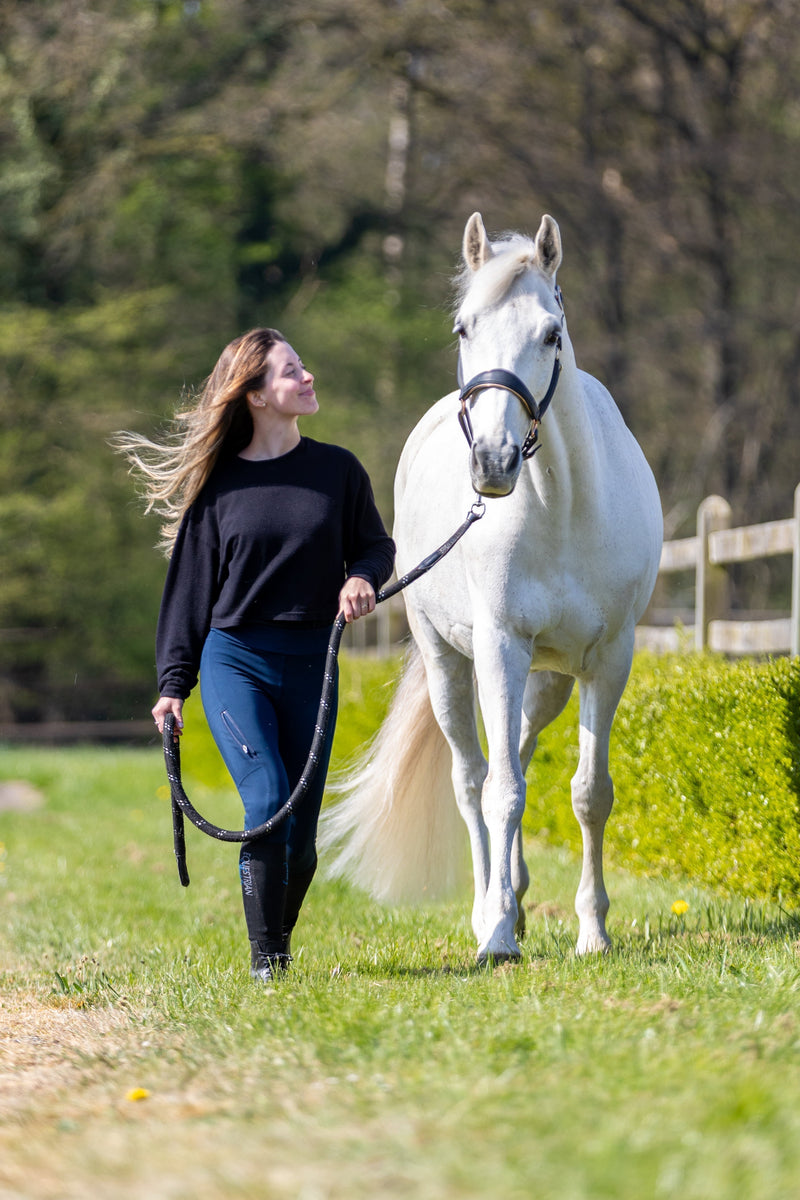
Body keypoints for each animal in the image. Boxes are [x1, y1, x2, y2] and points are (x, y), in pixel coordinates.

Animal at [319, 212, 663, 964]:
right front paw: (499, 933)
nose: (493, 461)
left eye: (551, 333)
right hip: (452, 663)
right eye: (463, 329)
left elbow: (590, 794)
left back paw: (521, 895)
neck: (563, 506)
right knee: (474, 780)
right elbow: (502, 791)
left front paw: (593, 930)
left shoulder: (607, 661)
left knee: (523, 753)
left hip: (547, 678)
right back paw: (489, 910)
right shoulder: (501, 647)